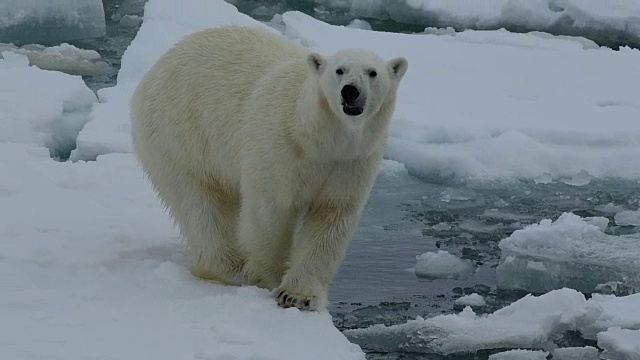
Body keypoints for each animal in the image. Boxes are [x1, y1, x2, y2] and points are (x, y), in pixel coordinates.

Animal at [131, 25, 408, 310]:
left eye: (372, 72)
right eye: (339, 70)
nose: (350, 91)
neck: (318, 138)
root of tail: (157, 65)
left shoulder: (352, 161)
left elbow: (331, 217)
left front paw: (298, 295)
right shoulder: (279, 148)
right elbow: (271, 210)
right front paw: (267, 278)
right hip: (180, 135)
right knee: (199, 203)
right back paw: (231, 267)